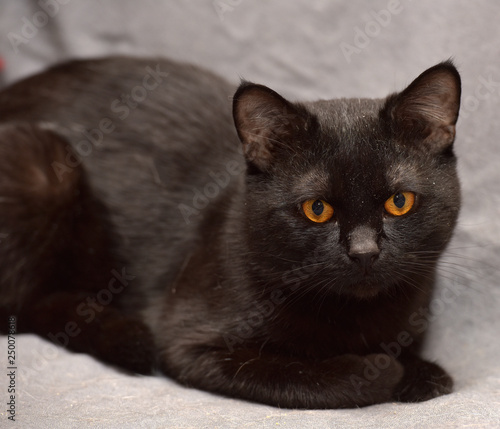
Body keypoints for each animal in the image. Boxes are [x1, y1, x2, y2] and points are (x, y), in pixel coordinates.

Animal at [0, 56, 460, 408]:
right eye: (317, 209)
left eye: (399, 202)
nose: (363, 251)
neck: (355, 317)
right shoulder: (189, 344)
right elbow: (294, 374)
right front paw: (377, 370)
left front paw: (420, 371)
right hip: (41, 166)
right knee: (25, 309)